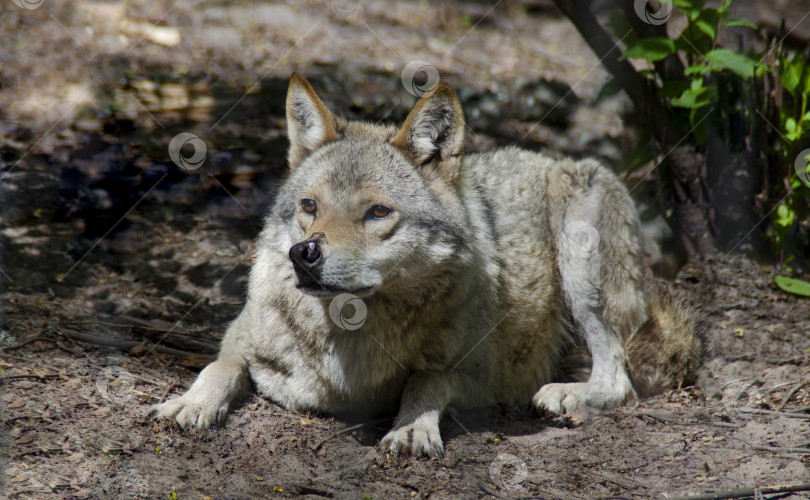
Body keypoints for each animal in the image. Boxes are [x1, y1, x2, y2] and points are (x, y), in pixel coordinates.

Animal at [153, 73, 700, 458]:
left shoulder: (484, 380)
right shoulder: (239, 337)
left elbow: (427, 379)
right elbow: (222, 365)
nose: (304, 253)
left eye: (377, 213)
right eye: (309, 206)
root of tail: (554, 159)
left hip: (579, 259)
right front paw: (191, 403)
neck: (348, 342)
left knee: (619, 381)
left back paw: (568, 397)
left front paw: (412, 427)